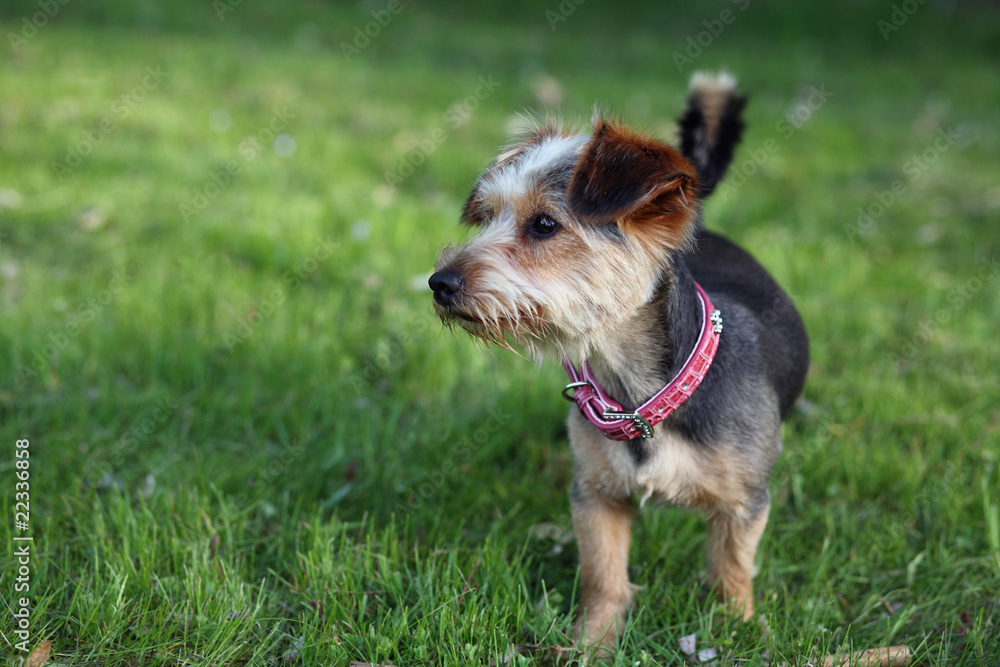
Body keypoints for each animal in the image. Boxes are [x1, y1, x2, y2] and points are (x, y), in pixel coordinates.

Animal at [430, 74, 812, 652]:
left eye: (544, 224)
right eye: (486, 217)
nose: (439, 282)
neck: (641, 396)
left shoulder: (744, 503)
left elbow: (730, 571)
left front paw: (737, 631)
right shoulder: (596, 497)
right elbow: (602, 573)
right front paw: (592, 642)